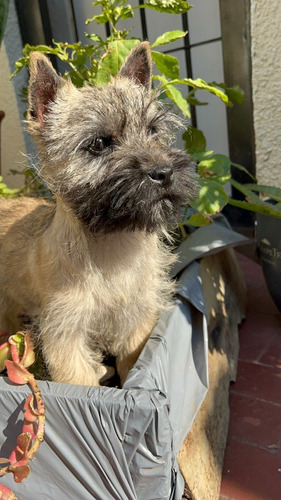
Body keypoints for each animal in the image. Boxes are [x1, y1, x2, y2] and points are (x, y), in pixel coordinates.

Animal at [0, 44, 197, 386]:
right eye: (98, 144)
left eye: (153, 131)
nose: (164, 172)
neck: (110, 247)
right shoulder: (66, 337)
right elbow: (79, 380)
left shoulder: (135, 322)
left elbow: (132, 366)